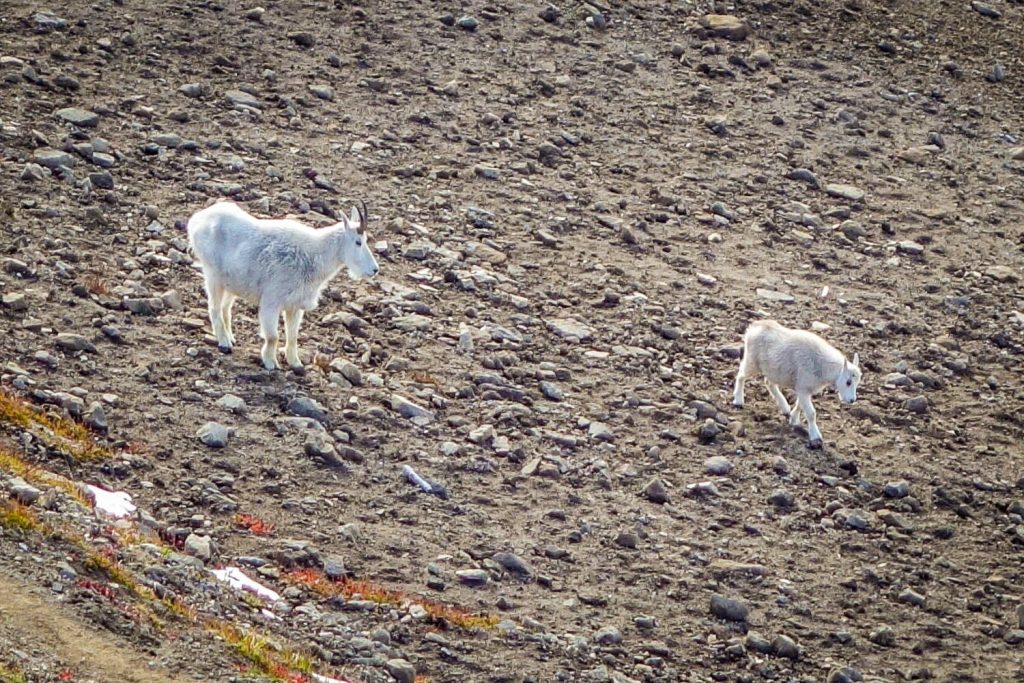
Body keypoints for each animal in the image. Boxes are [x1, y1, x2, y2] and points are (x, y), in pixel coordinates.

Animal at [186, 200, 379, 370]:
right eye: (358, 242)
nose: (374, 269)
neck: (313, 257)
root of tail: (196, 219)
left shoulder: (295, 305)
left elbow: (292, 336)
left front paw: (296, 364)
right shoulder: (272, 301)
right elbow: (273, 336)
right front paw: (270, 363)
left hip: (231, 282)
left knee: (226, 307)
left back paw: (231, 337)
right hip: (213, 275)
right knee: (214, 307)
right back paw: (224, 343)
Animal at [732, 319, 861, 448]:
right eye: (848, 382)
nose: (852, 400)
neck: (823, 366)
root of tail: (753, 327)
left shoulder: (803, 388)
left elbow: (800, 404)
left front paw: (793, 419)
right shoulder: (803, 388)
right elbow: (811, 413)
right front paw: (815, 437)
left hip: (772, 370)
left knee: (768, 382)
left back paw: (785, 408)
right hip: (752, 362)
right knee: (741, 375)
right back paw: (738, 401)